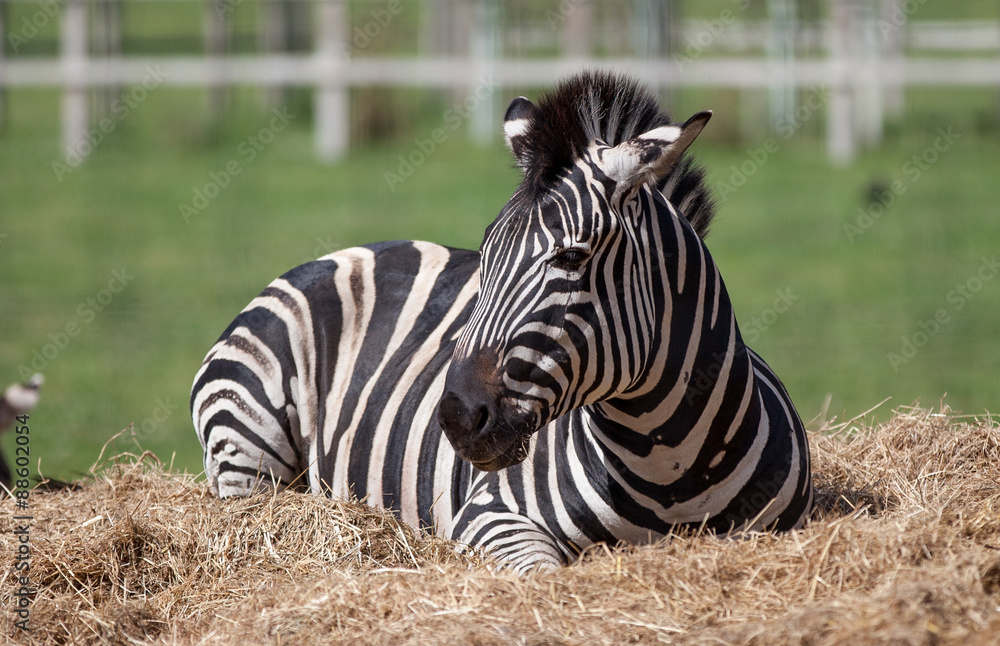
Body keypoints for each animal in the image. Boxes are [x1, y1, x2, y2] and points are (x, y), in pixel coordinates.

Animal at [191, 71, 813, 573]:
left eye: (572, 257)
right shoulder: (490, 515)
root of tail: (334, 255)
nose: (457, 418)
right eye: (484, 256)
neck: (667, 463)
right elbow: (546, 576)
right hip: (247, 446)